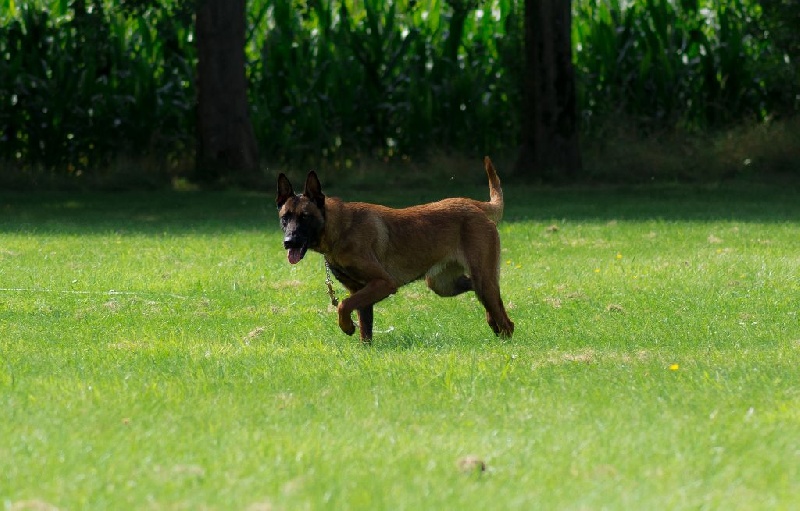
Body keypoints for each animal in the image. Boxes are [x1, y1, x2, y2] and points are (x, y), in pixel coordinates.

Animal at [276, 156, 512, 344]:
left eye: (305, 217)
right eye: (285, 218)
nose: (288, 242)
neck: (340, 228)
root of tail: (475, 206)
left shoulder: (383, 283)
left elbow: (343, 305)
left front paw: (347, 326)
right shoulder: (360, 290)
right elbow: (365, 328)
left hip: (481, 279)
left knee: (506, 321)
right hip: (442, 284)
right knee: (483, 296)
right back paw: (491, 321)